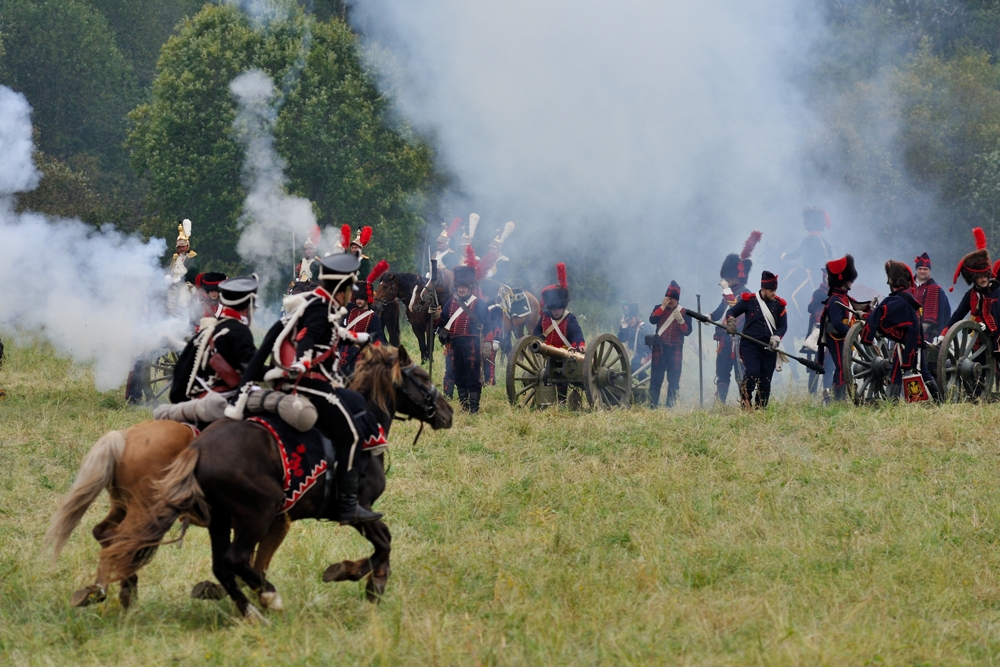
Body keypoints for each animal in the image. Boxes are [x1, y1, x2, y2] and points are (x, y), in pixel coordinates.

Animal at [102, 348, 450, 620]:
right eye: (422, 377)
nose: (447, 412)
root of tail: (197, 450)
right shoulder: (356, 512)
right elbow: (384, 542)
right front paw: (362, 579)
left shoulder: (280, 522)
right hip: (255, 512)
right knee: (229, 559)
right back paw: (269, 598)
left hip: (221, 520)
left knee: (219, 565)